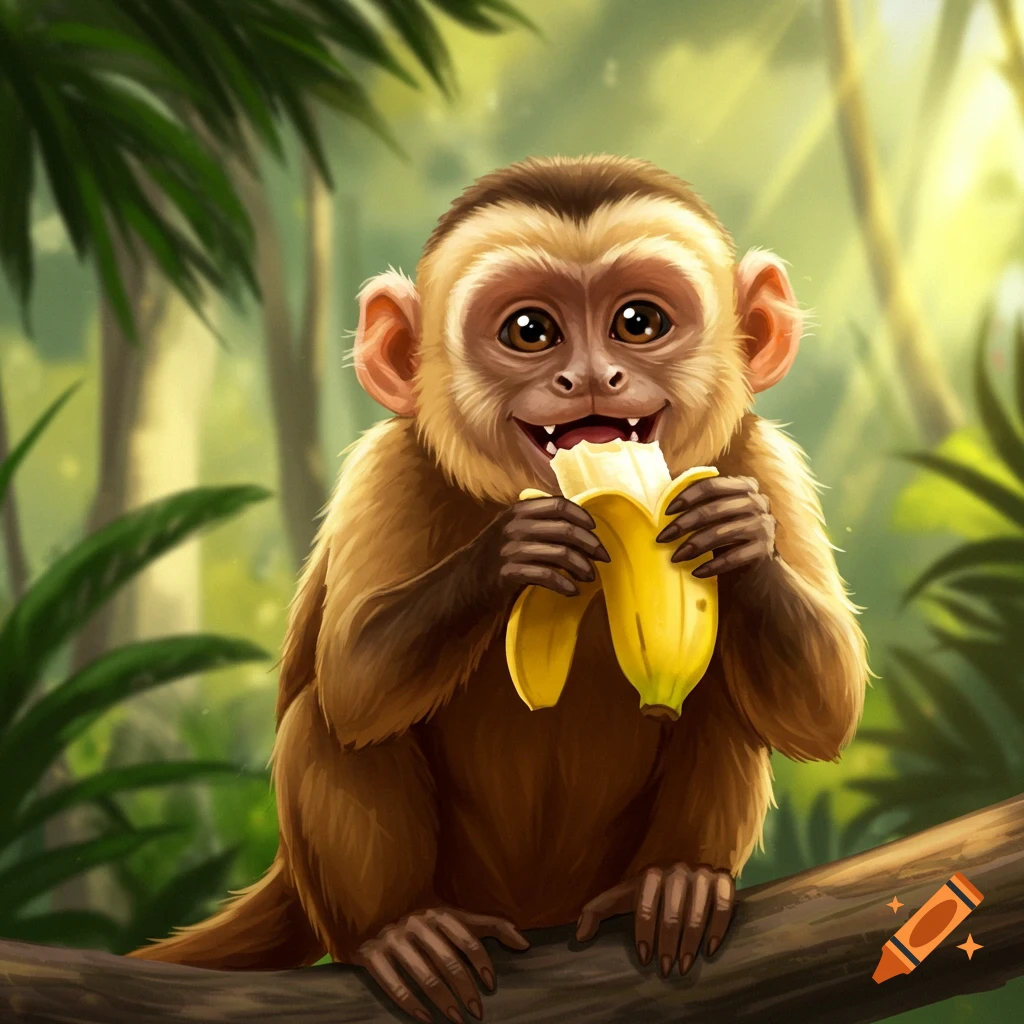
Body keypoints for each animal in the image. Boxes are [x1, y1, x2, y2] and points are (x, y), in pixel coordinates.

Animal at [128, 155, 868, 1023]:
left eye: (639, 321)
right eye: (530, 332)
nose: (591, 377)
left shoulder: (762, 457)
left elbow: (824, 708)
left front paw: (738, 536)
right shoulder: (388, 468)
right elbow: (354, 683)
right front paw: (514, 551)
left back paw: (680, 880)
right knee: (326, 719)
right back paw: (398, 932)